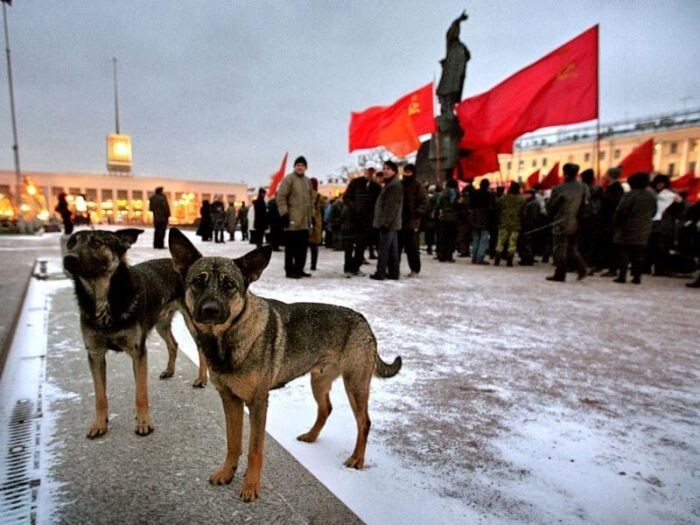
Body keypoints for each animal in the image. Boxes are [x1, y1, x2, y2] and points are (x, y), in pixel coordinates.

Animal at [63, 229, 208, 438]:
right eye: (71, 243)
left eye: (96, 242)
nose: (68, 258)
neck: (105, 299)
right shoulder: (95, 355)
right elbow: (100, 396)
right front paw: (99, 424)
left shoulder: (138, 352)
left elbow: (140, 393)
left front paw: (144, 423)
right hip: (161, 323)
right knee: (173, 344)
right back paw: (169, 370)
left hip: (193, 322)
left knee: (200, 347)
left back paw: (202, 378)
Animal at [167, 228, 402, 500]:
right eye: (198, 281)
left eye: (229, 285)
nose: (210, 310)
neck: (226, 339)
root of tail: (363, 320)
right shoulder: (230, 399)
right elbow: (233, 443)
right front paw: (227, 473)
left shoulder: (258, 403)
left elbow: (254, 449)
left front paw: (251, 486)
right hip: (319, 380)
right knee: (326, 409)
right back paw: (311, 436)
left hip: (355, 385)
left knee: (364, 422)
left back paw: (357, 459)